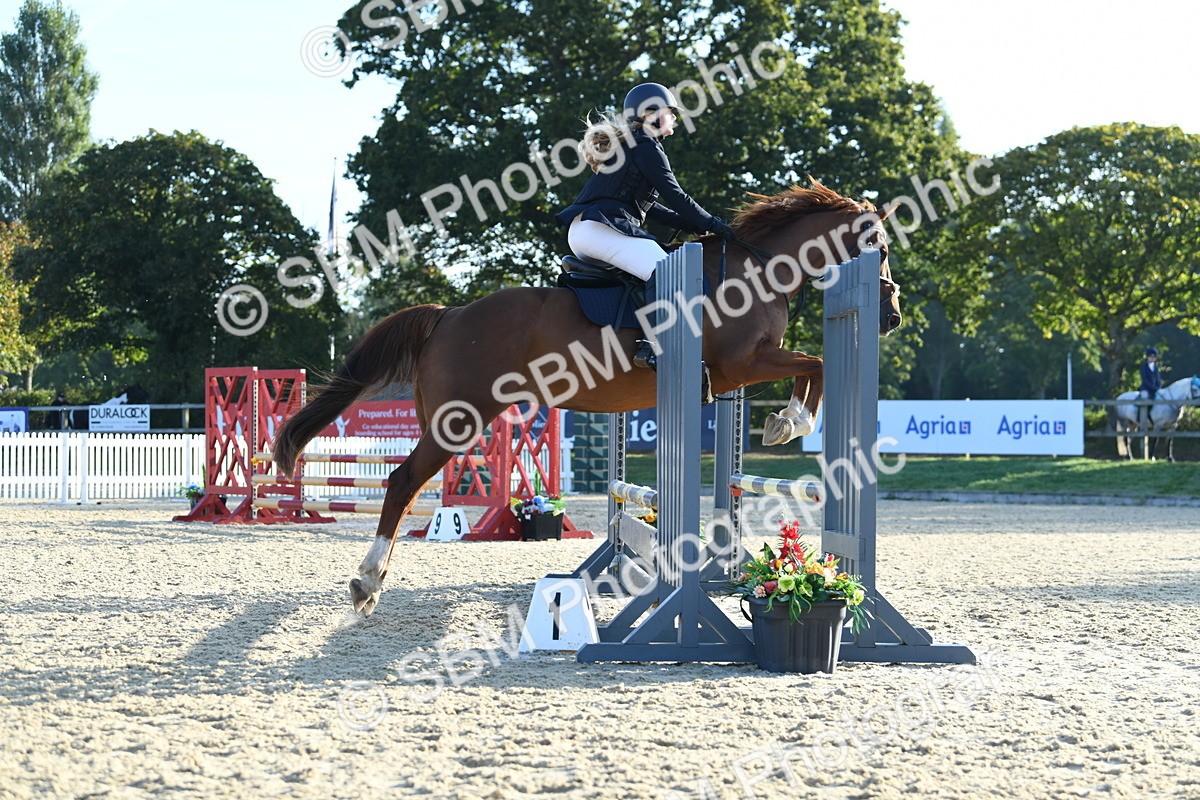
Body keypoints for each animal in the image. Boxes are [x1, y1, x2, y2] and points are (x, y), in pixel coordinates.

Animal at [272, 182, 903, 615]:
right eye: (877, 244)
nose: (892, 317)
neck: (758, 270)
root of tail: (449, 315)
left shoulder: (738, 375)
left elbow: (809, 366)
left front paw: (782, 424)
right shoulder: (743, 365)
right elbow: (814, 364)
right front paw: (790, 423)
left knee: (406, 486)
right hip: (460, 421)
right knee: (403, 483)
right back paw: (366, 583)